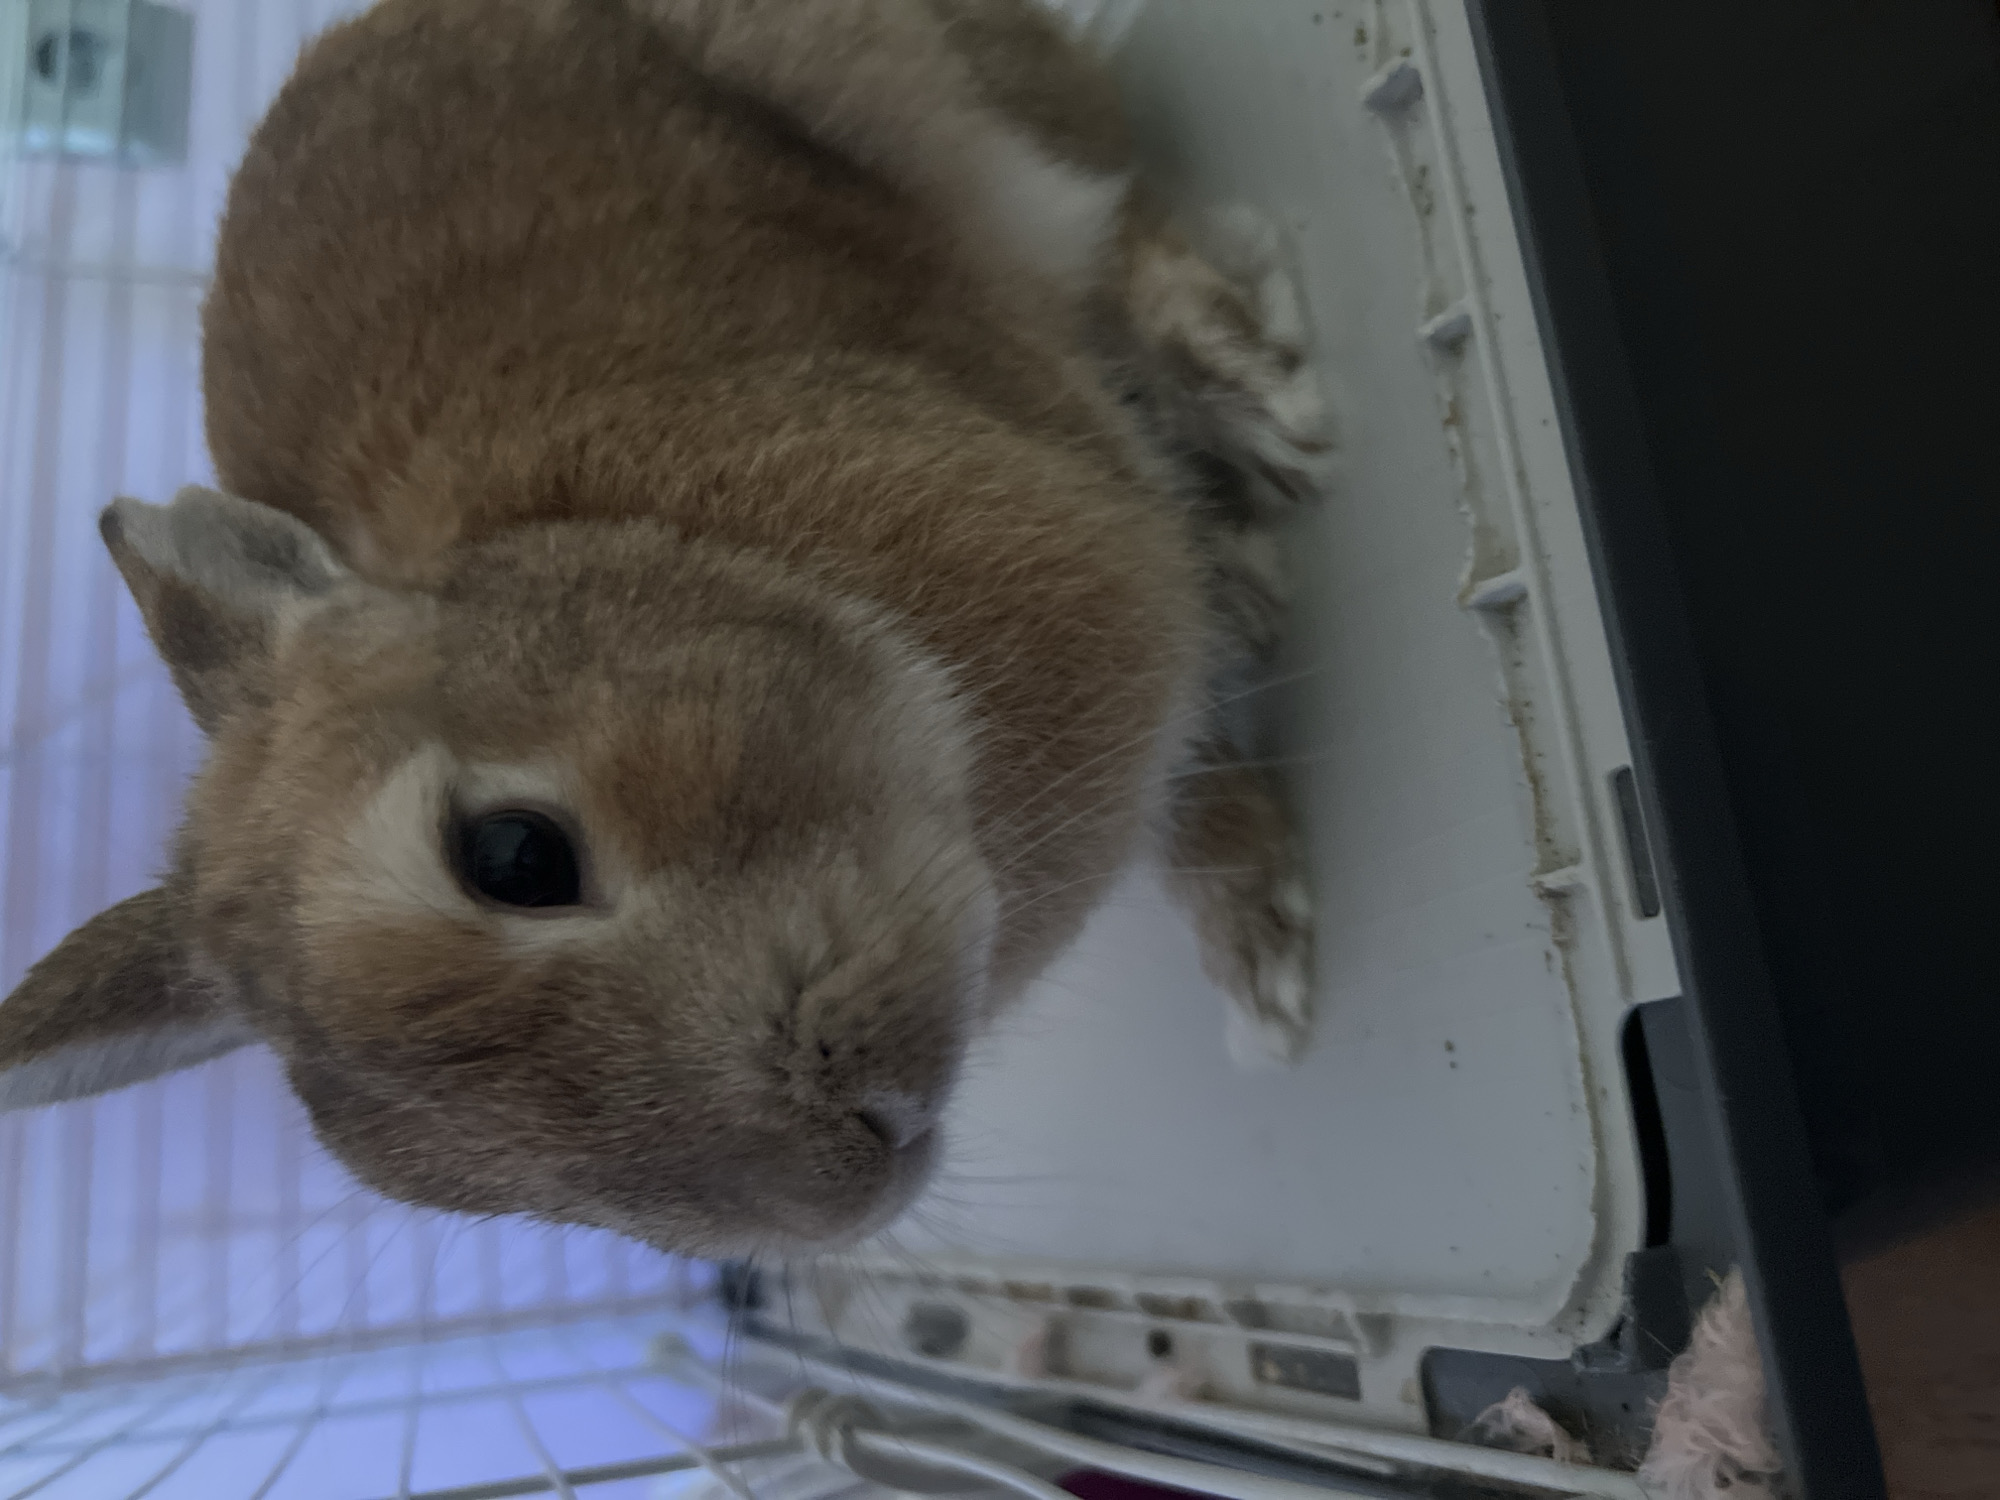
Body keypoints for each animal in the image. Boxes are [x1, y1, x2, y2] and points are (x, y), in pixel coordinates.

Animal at [0, 0, 1328, 1256]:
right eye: (468, 1180)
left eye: (516, 855)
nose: (848, 1168)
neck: (706, 553)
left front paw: (1270, 969)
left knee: (1111, 224)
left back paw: (1274, 415)